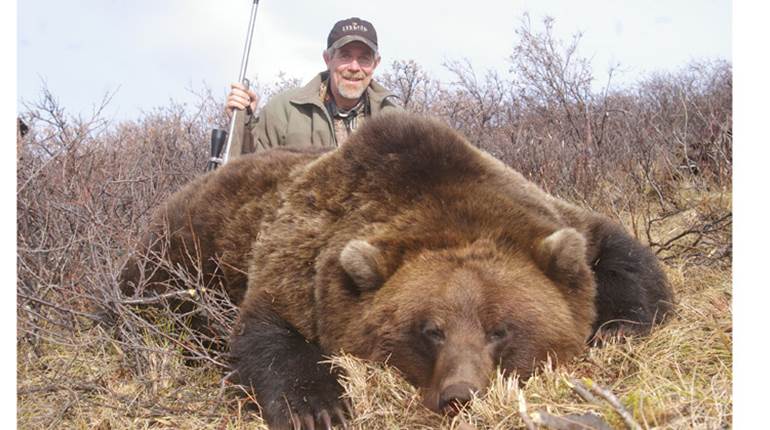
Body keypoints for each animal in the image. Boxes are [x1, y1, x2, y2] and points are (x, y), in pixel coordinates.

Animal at [119, 112, 673, 429]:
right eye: (430, 330)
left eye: (501, 329)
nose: (460, 394)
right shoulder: (302, 253)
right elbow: (268, 328)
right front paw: (320, 408)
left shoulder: (545, 215)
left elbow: (620, 252)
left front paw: (617, 328)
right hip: (174, 255)